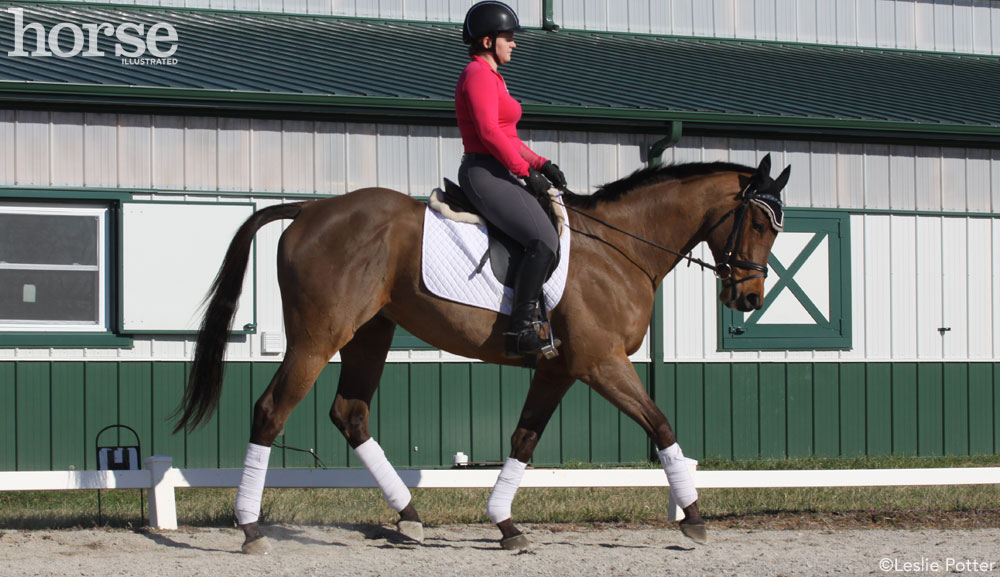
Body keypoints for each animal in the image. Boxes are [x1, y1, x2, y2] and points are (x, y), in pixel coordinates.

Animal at [178, 153, 788, 552]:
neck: (621, 246)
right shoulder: (601, 362)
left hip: (370, 334)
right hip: (317, 337)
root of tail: (309, 209)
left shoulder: (560, 368)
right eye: (760, 221)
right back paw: (250, 528)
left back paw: (409, 518)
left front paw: (505, 524)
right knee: (271, 411)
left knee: (349, 413)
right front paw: (694, 517)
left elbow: (523, 440)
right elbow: (661, 424)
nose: (749, 298)